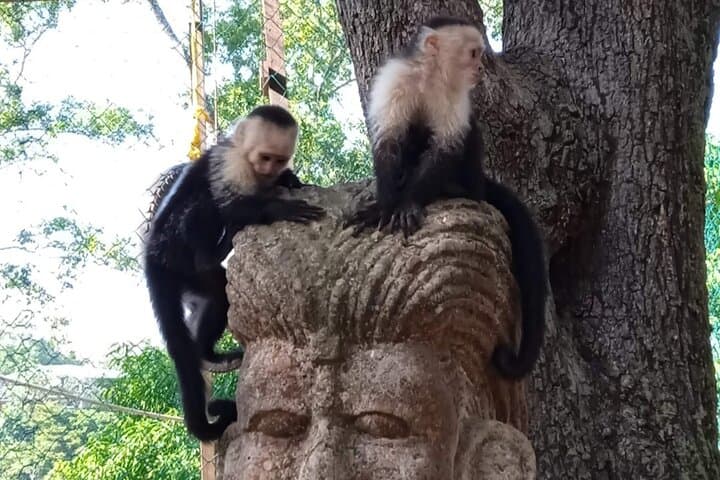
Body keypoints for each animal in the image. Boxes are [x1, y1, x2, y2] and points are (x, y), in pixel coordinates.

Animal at [143, 105, 325, 441]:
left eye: (277, 158)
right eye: (263, 156)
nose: (269, 168)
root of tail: (152, 257)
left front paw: (289, 179)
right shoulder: (232, 164)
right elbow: (230, 205)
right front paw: (276, 209)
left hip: (186, 279)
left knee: (215, 297)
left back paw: (206, 351)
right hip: (176, 253)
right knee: (203, 213)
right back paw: (211, 256)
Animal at [344, 16, 548, 379]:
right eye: (473, 53)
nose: (480, 68)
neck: (430, 77)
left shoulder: (456, 95)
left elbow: (446, 147)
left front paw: (408, 203)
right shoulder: (396, 79)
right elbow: (388, 141)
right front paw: (384, 205)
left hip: (474, 178)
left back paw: (457, 189)